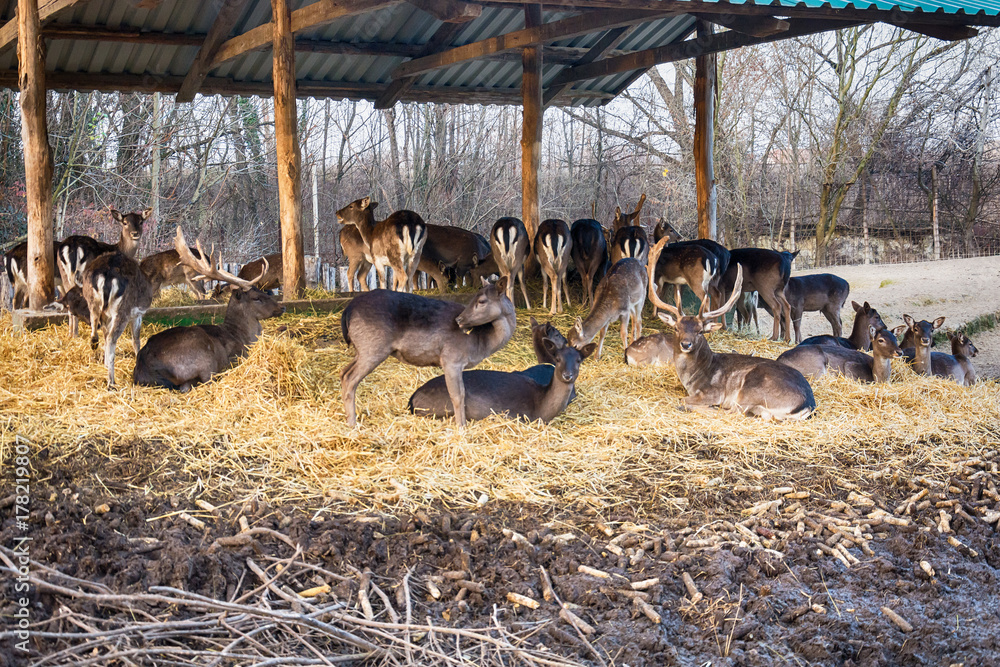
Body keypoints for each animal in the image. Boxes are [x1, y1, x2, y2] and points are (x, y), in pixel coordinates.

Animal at [134, 262, 283, 392]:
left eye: (263, 291)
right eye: (256, 298)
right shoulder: (237, 355)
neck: (242, 336)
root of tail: (144, 366)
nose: (282, 307)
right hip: (203, 359)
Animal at [339, 277, 516, 428]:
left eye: (481, 300)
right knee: (350, 378)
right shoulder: (451, 359)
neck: (479, 343)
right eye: (474, 298)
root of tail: (347, 310)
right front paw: (461, 426)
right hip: (373, 348)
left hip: (361, 349)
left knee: (343, 372)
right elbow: (458, 395)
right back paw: (352, 423)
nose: (459, 320)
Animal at [408, 337, 595, 424]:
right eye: (557, 358)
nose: (567, 375)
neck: (541, 408)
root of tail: (412, 398)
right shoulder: (516, 415)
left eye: (579, 360)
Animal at [647, 238, 816, 420]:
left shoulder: (712, 391)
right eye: (677, 328)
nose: (686, 344)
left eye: (700, 331)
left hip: (751, 389)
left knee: (733, 412)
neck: (694, 375)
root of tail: (807, 404)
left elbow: (684, 399)